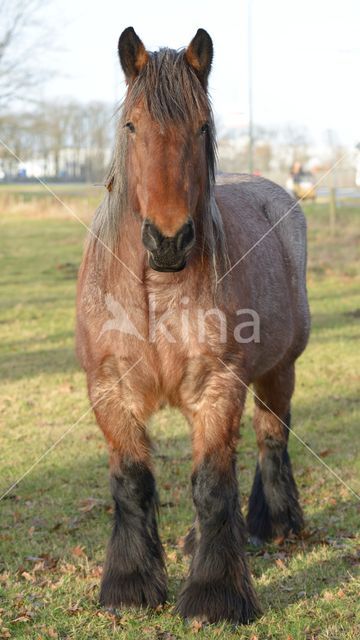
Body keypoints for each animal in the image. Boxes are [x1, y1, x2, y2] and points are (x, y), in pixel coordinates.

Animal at [75, 27, 310, 624]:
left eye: (202, 126)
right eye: (132, 126)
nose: (169, 240)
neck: (154, 296)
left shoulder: (217, 387)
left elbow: (211, 485)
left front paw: (215, 594)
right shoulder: (109, 390)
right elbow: (133, 482)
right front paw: (131, 584)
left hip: (279, 370)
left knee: (270, 437)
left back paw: (272, 524)